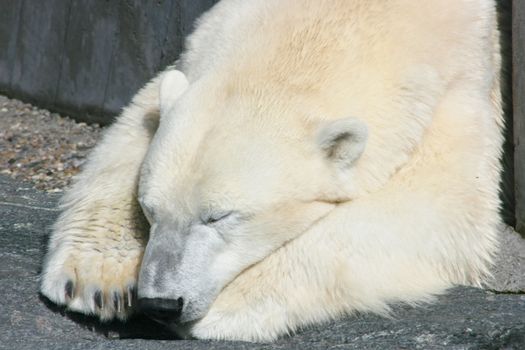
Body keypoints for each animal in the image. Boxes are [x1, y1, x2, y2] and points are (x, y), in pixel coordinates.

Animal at [39, 0, 502, 340]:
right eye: (149, 210)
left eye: (219, 216)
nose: (161, 303)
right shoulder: (204, 43)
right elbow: (137, 121)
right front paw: (95, 281)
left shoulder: (456, 90)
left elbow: (437, 210)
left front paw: (230, 303)